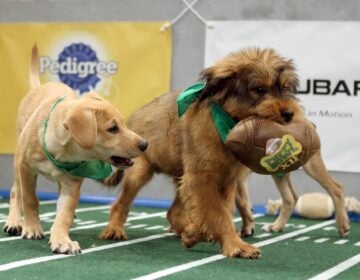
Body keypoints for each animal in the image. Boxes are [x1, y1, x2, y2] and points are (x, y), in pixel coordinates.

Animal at [3, 44, 147, 255]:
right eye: (113, 128)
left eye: (123, 123)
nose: (145, 144)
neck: (61, 153)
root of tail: (38, 87)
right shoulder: (26, 168)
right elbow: (29, 199)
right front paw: (32, 228)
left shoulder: (72, 183)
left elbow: (64, 214)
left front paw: (62, 240)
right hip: (17, 163)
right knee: (16, 191)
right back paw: (14, 221)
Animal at [100, 47, 302, 258]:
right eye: (261, 89)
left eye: (285, 88)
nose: (290, 114)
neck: (227, 125)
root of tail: (132, 117)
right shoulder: (201, 178)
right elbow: (218, 213)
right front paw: (236, 246)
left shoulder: (225, 181)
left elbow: (221, 211)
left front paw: (197, 234)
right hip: (140, 171)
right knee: (121, 203)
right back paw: (114, 229)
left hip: (181, 175)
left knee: (173, 212)